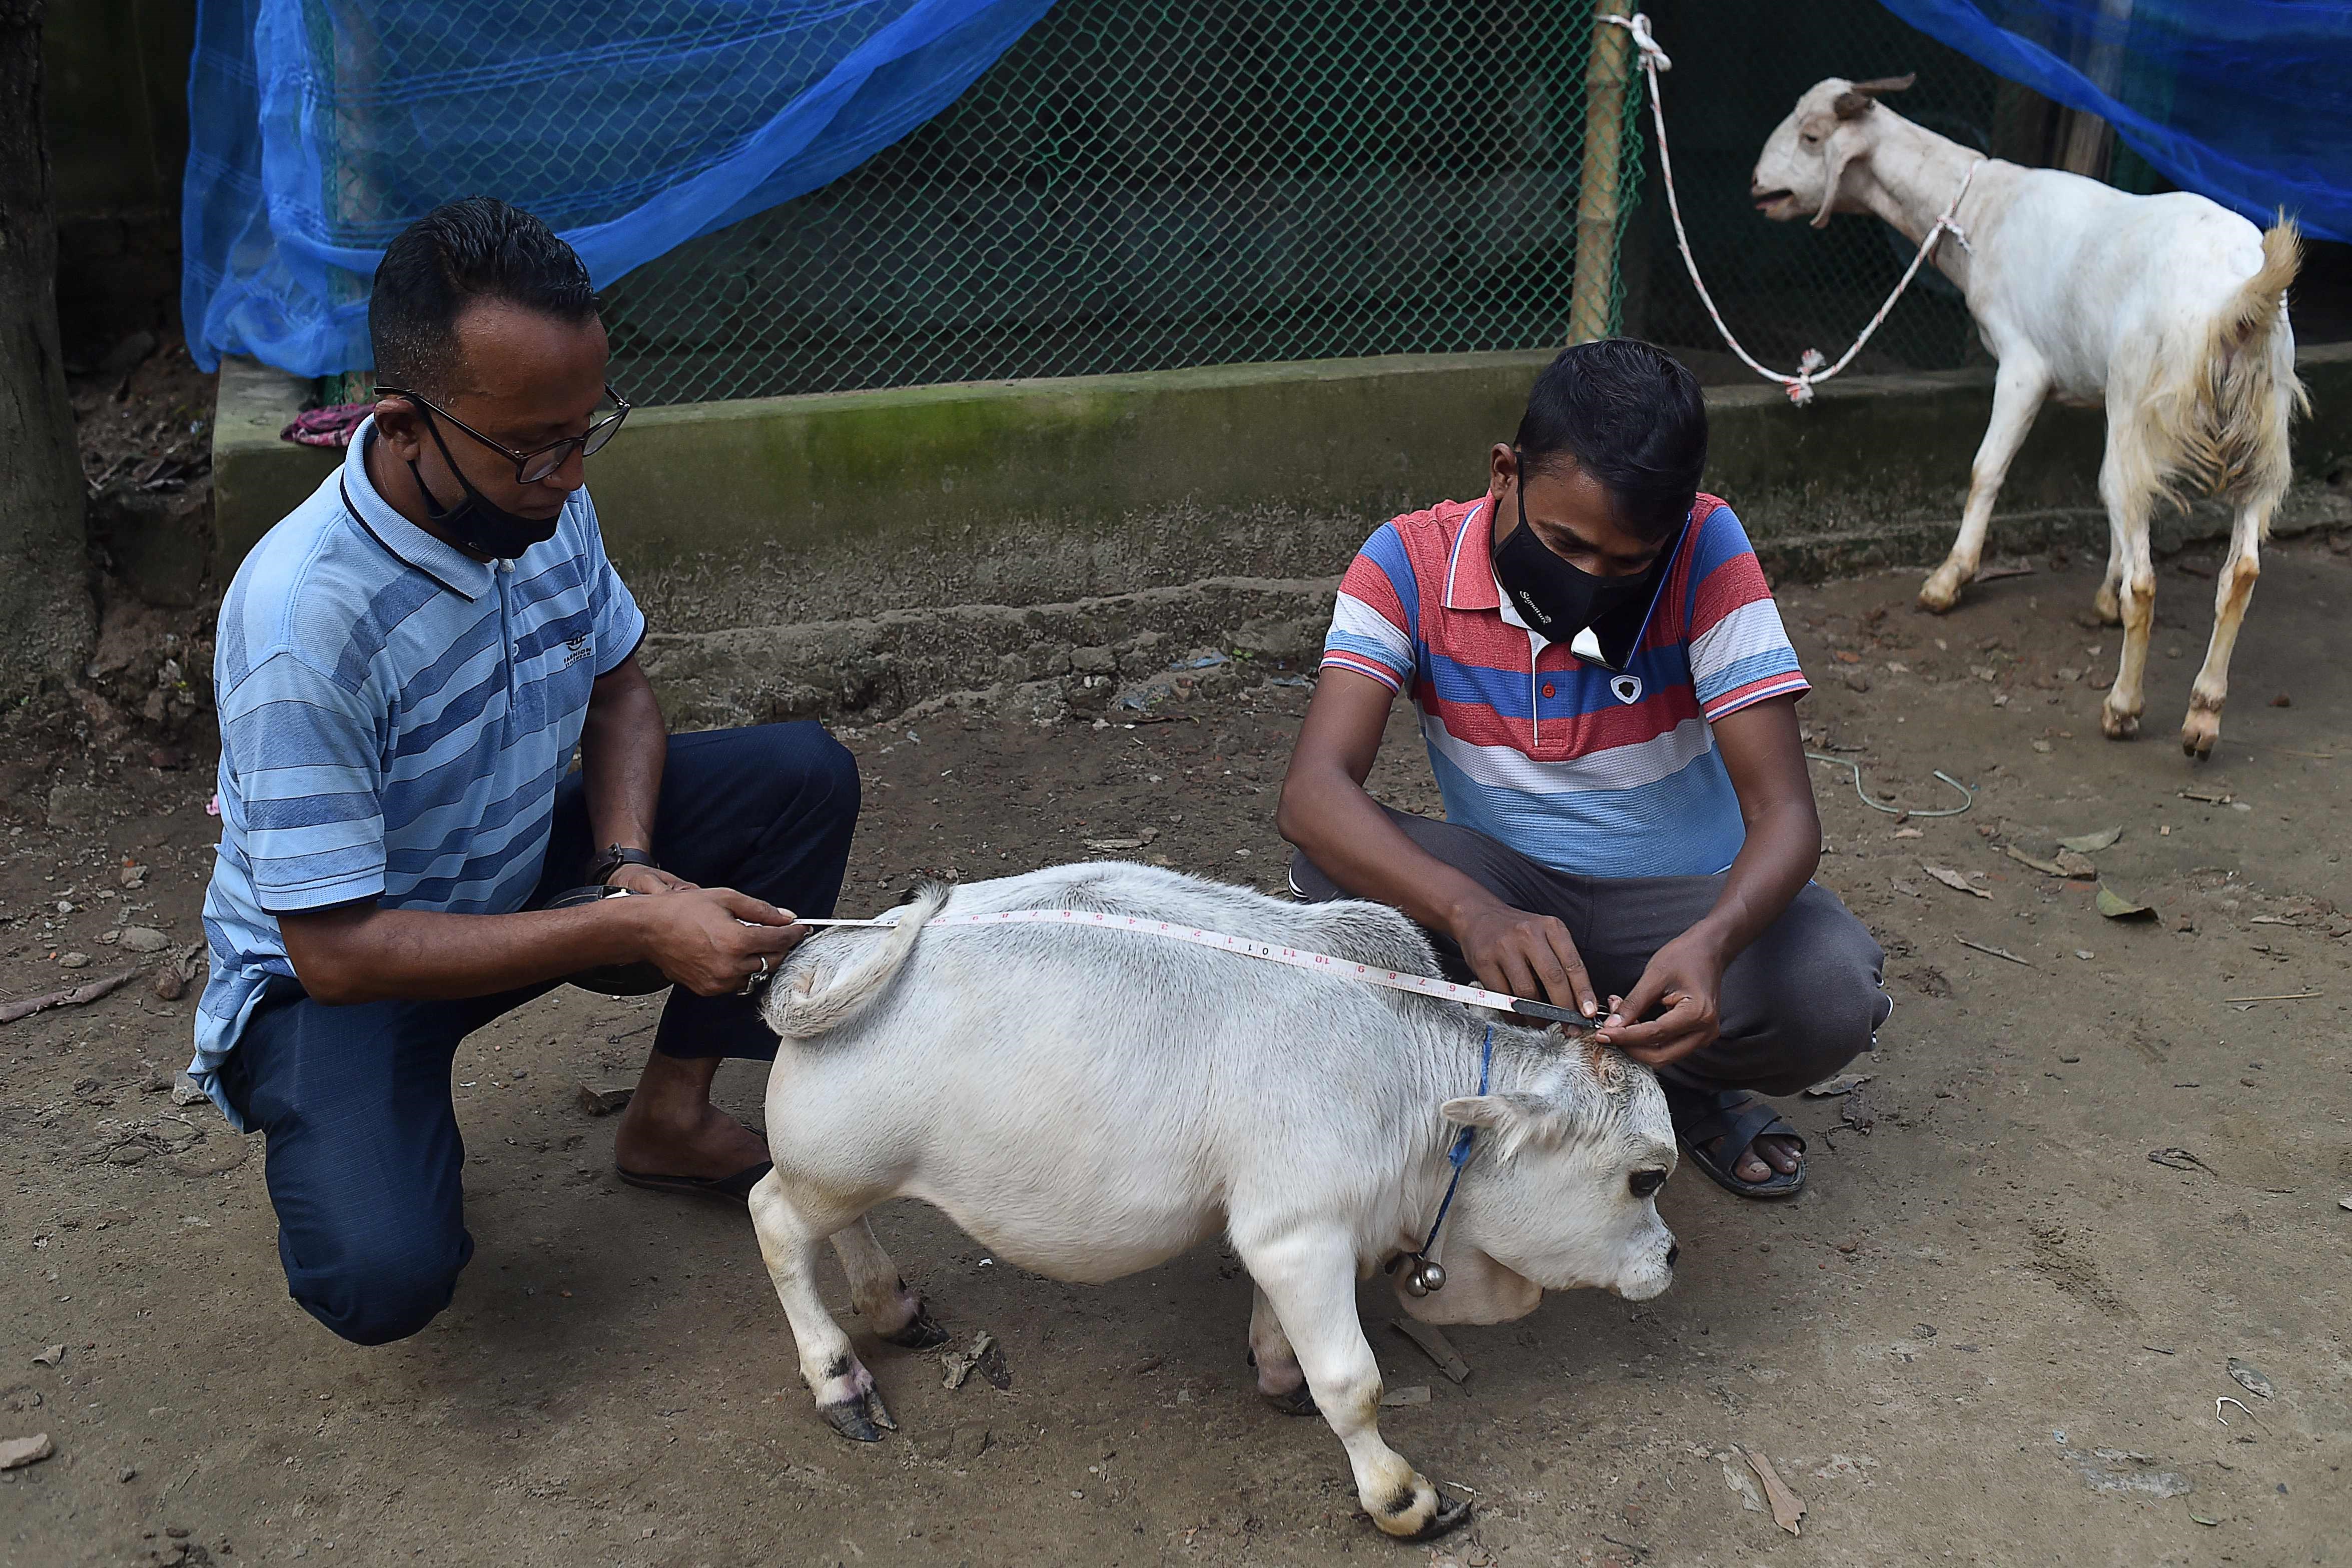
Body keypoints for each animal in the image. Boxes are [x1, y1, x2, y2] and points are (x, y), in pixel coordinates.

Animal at [747, 870, 1675, 1542]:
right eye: (1645, 1178)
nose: (1669, 1257)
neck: (1411, 1078)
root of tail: (834, 954)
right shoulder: (1301, 1234)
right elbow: (1354, 1383)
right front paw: (1399, 1496)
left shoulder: (1282, 1228)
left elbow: (1278, 1329)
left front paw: (1277, 1372)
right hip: (833, 1166)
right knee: (775, 1220)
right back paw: (838, 1376)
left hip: (849, 1170)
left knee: (842, 1226)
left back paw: (891, 1304)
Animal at [1759, 76, 2304, 756]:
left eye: (1812, 137)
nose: (1758, 187)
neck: (1983, 208)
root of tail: (2239, 306)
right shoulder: (2106, 394)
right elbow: (2107, 500)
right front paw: (2103, 597)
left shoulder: (2024, 362)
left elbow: (1986, 470)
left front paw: (1948, 580)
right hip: (2258, 438)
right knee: (2239, 571)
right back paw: (2203, 716)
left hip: (2158, 402)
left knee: (2149, 579)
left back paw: (2123, 707)